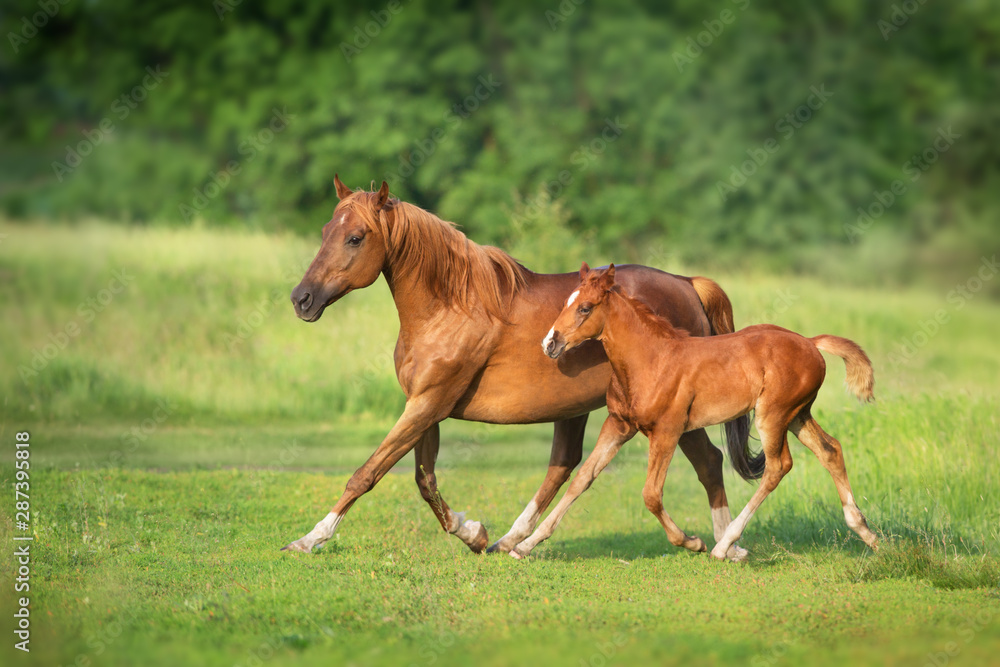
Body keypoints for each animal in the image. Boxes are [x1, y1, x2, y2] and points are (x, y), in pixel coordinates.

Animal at [282, 176, 754, 557]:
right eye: (326, 232)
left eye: (355, 237)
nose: (301, 299)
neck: (450, 306)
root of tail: (688, 284)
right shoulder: (425, 407)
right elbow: (424, 479)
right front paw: (473, 533)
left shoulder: (427, 404)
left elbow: (367, 473)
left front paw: (309, 539)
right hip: (584, 408)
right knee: (566, 465)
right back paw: (512, 540)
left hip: (670, 414)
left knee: (708, 461)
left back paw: (725, 544)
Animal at [511, 263, 879, 561]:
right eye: (565, 304)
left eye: (585, 308)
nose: (550, 343)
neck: (651, 359)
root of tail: (811, 343)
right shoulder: (618, 425)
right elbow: (582, 479)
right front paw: (524, 545)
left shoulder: (668, 430)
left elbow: (651, 495)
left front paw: (692, 542)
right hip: (798, 415)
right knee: (830, 449)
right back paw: (867, 533)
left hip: (773, 415)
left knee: (778, 467)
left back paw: (723, 546)